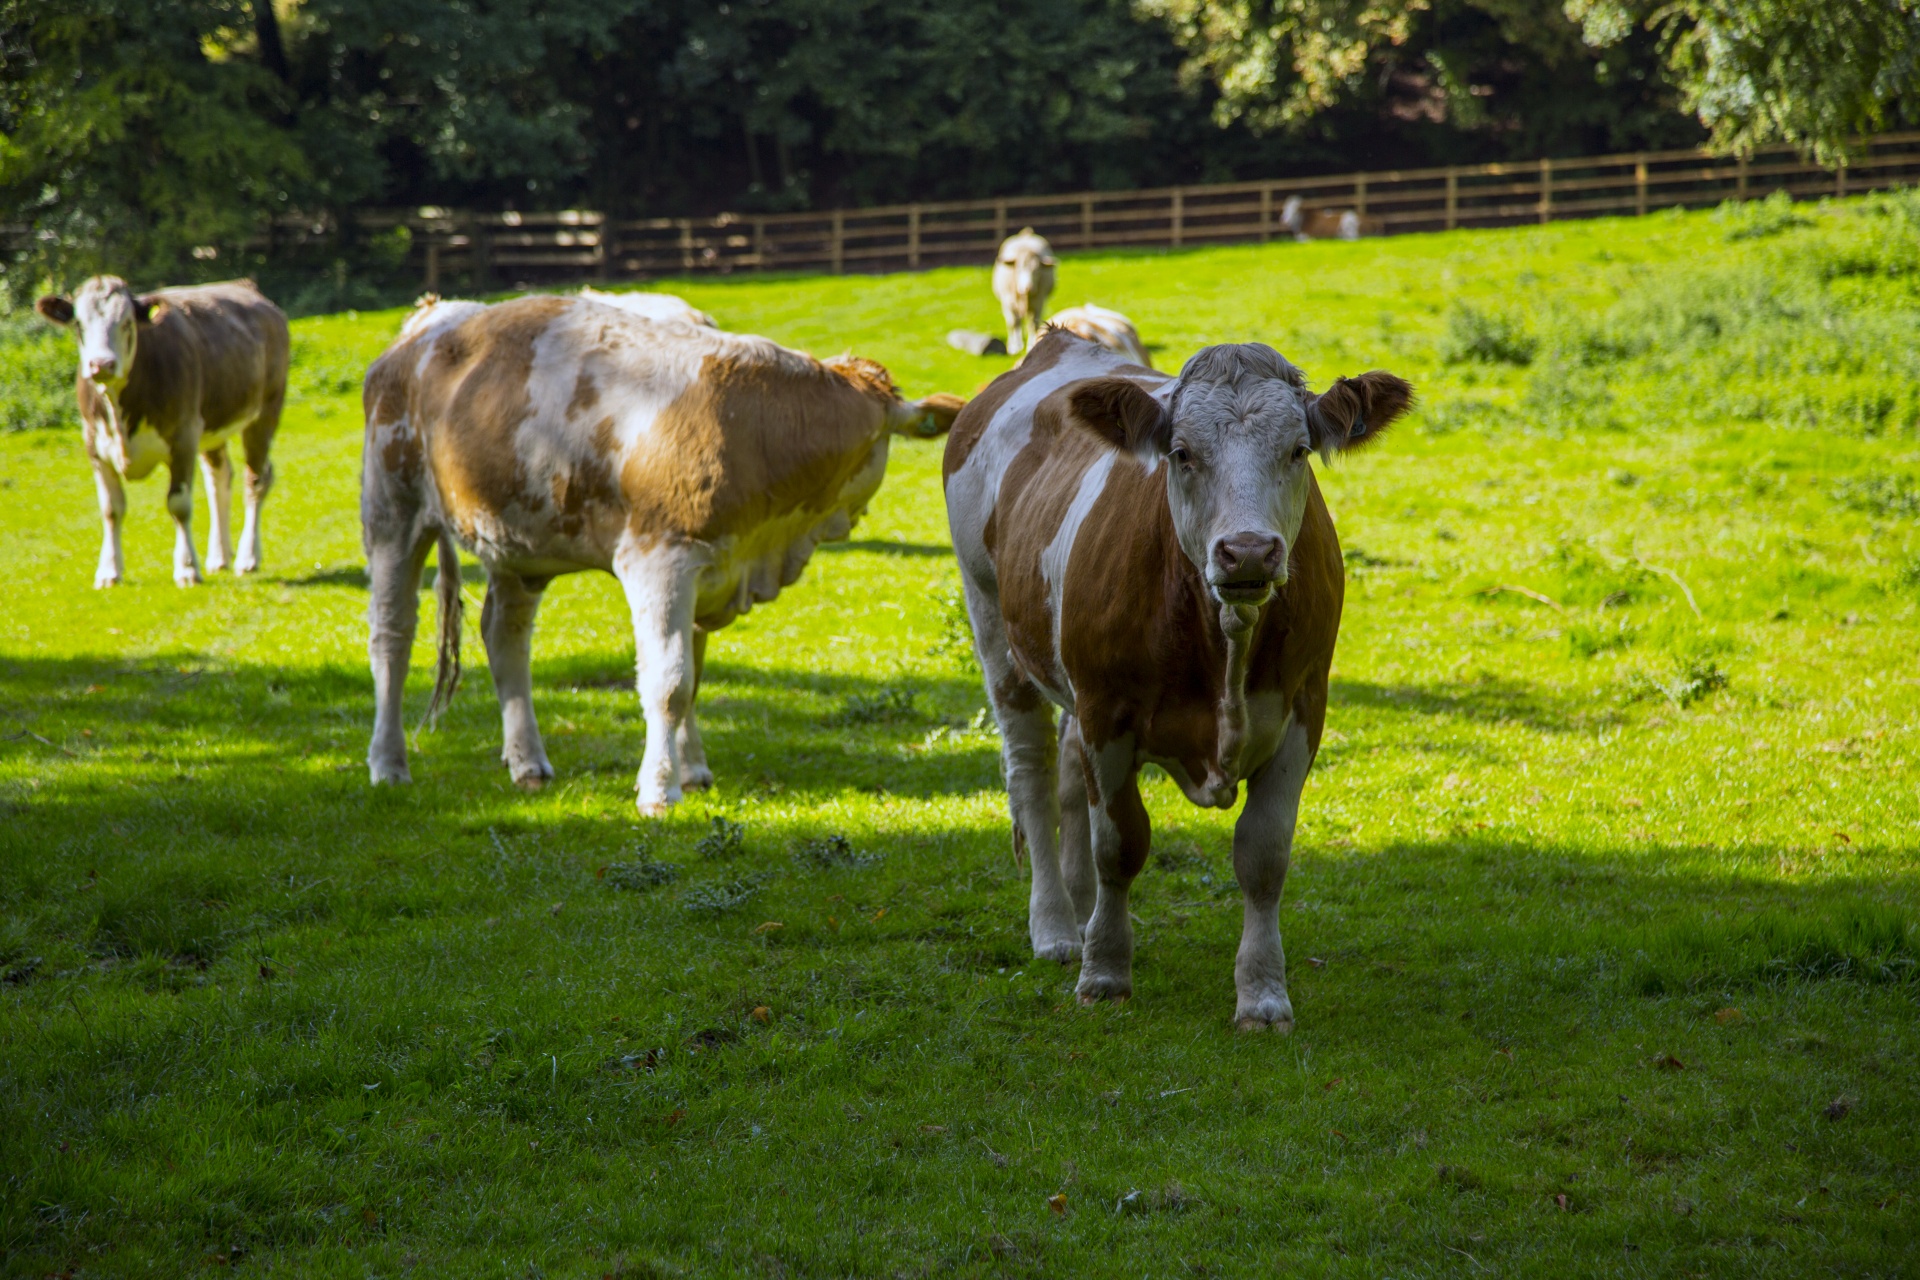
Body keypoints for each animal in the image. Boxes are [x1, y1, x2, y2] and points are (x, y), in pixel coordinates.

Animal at [36, 280, 288, 591]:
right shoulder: (94, 446)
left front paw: (188, 569)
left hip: (265, 411)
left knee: (255, 480)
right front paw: (109, 571)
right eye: (79, 324)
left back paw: (247, 557)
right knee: (219, 479)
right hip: (211, 426)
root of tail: (245, 286)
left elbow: (179, 505)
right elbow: (110, 509)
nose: (101, 364)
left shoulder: (183, 437)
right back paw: (219, 556)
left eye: (127, 322)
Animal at [944, 328, 1413, 1028]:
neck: (1225, 636)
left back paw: (1079, 911)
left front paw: (1263, 993)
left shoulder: (1305, 708)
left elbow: (1263, 856)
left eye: (1298, 450)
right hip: (995, 630)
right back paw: (1055, 928)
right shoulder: (1106, 711)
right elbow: (1120, 843)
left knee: (1065, 778)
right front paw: (1105, 972)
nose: (1247, 552)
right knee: (1031, 774)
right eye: (1182, 453)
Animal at [998, 227, 1059, 358]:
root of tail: (1025, 234)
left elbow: (1033, 324)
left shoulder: (1039, 301)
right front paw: (1015, 347)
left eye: (1037, 271)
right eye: (1018, 268)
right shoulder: (1008, 301)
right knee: (1015, 322)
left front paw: (1031, 345)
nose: (1028, 287)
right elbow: (1013, 323)